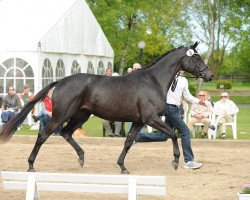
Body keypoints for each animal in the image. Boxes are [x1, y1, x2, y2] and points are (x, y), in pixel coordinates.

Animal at [0, 41, 213, 173]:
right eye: (197, 58)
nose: (209, 75)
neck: (153, 81)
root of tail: (60, 81)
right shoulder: (150, 118)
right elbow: (173, 134)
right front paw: (175, 162)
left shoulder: (138, 121)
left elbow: (128, 142)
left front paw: (122, 167)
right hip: (61, 115)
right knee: (44, 135)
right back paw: (30, 165)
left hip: (81, 116)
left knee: (66, 133)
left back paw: (81, 158)